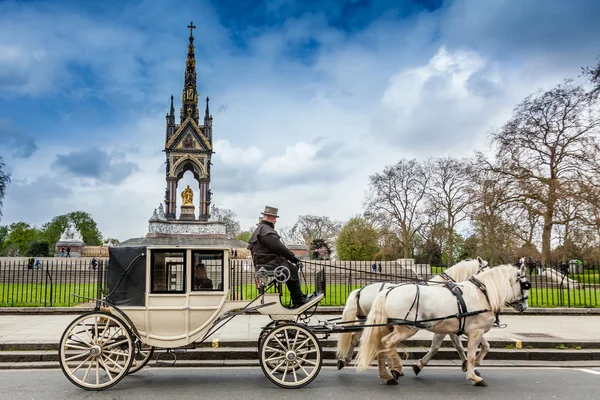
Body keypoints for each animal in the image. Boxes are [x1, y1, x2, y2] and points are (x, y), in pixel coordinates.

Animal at [336, 258, 490, 374]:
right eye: (486, 270)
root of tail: (361, 289)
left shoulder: (455, 323)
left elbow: (459, 345)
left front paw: (467, 364)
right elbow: (442, 346)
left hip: (366, 321)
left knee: (355, 338)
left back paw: (346, 360)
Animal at [354, 264, 528, 386]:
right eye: (526, 285)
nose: (524, 307)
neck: (481, 294)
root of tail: (387, 291)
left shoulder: (458, 329)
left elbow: (477, 346)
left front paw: (471, 365)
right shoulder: (474, 331)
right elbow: (468, 352)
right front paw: (473, 375)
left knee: (379, 344)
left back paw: (387, 374)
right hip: (407, 328)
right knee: (386, 343)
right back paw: (395, 367)